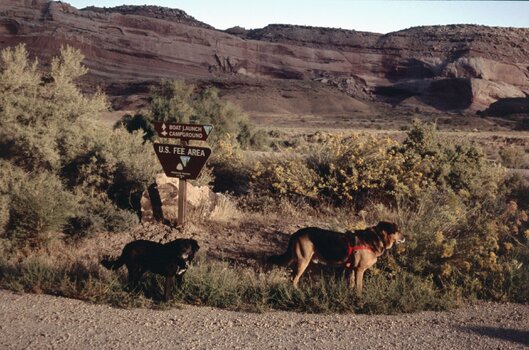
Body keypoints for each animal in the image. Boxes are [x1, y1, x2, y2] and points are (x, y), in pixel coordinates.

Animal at [268, 221, 404, 292]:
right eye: (398, 231)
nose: (405, 238)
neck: (376, 238)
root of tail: (296, 232)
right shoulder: (359, 270)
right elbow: (359, 287)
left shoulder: (351, 269)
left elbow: (351, 284)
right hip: (303, 261)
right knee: (293, 279)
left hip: (307, 263)